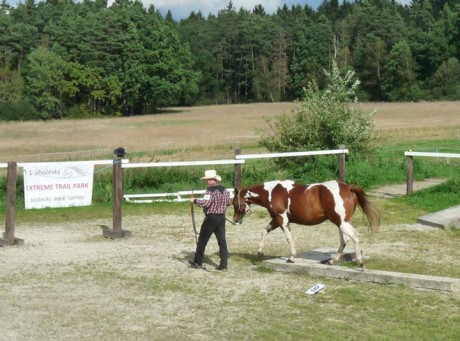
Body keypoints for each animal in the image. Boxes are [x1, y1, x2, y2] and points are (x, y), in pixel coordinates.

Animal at [234, 179, 380, 270]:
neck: (271, 192)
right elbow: (264, 231)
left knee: (354, 236)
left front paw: (291, 257)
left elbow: (288, 238)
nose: (235, 219)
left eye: (235, 203)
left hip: (341, 222)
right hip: (341, 222)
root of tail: (348, 187)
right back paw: (333, 261)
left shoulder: (282, 220)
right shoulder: (276, 219)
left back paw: (361, 263)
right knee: (344, 240)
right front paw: (259, 251)